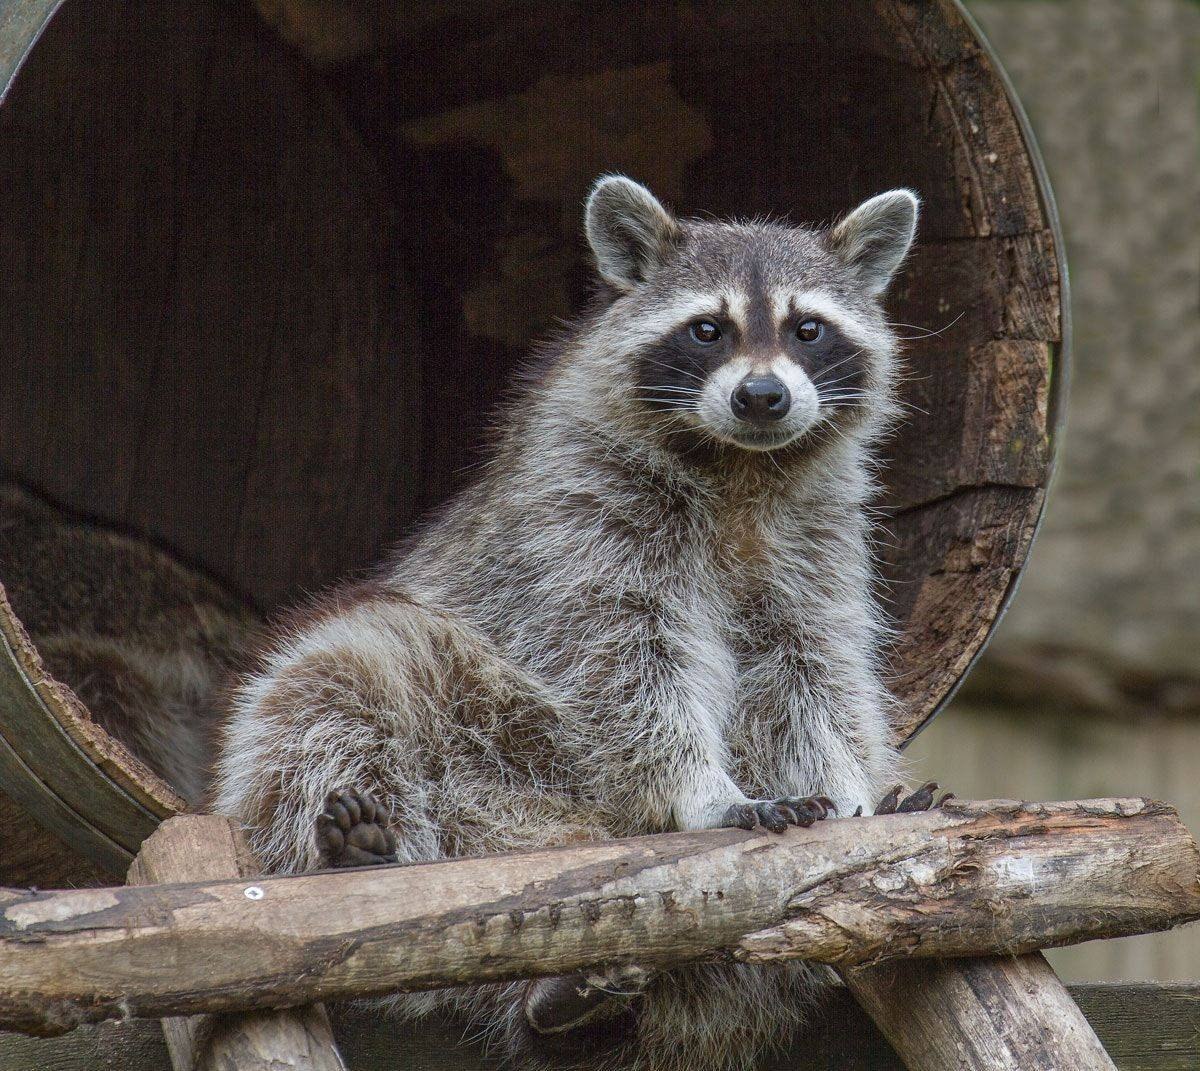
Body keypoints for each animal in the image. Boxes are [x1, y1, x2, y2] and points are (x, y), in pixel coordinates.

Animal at [216, 177, 921, 1071]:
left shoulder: (817, 539)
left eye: (808, 329)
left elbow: (813, 671)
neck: (741, 465)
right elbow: (624, 661)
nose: (763, 396)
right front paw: (702, 790)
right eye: (707, 329)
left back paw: (570, 1006)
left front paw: (850, 791)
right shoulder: (584, 511)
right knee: (343, 670)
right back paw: (360, 859)